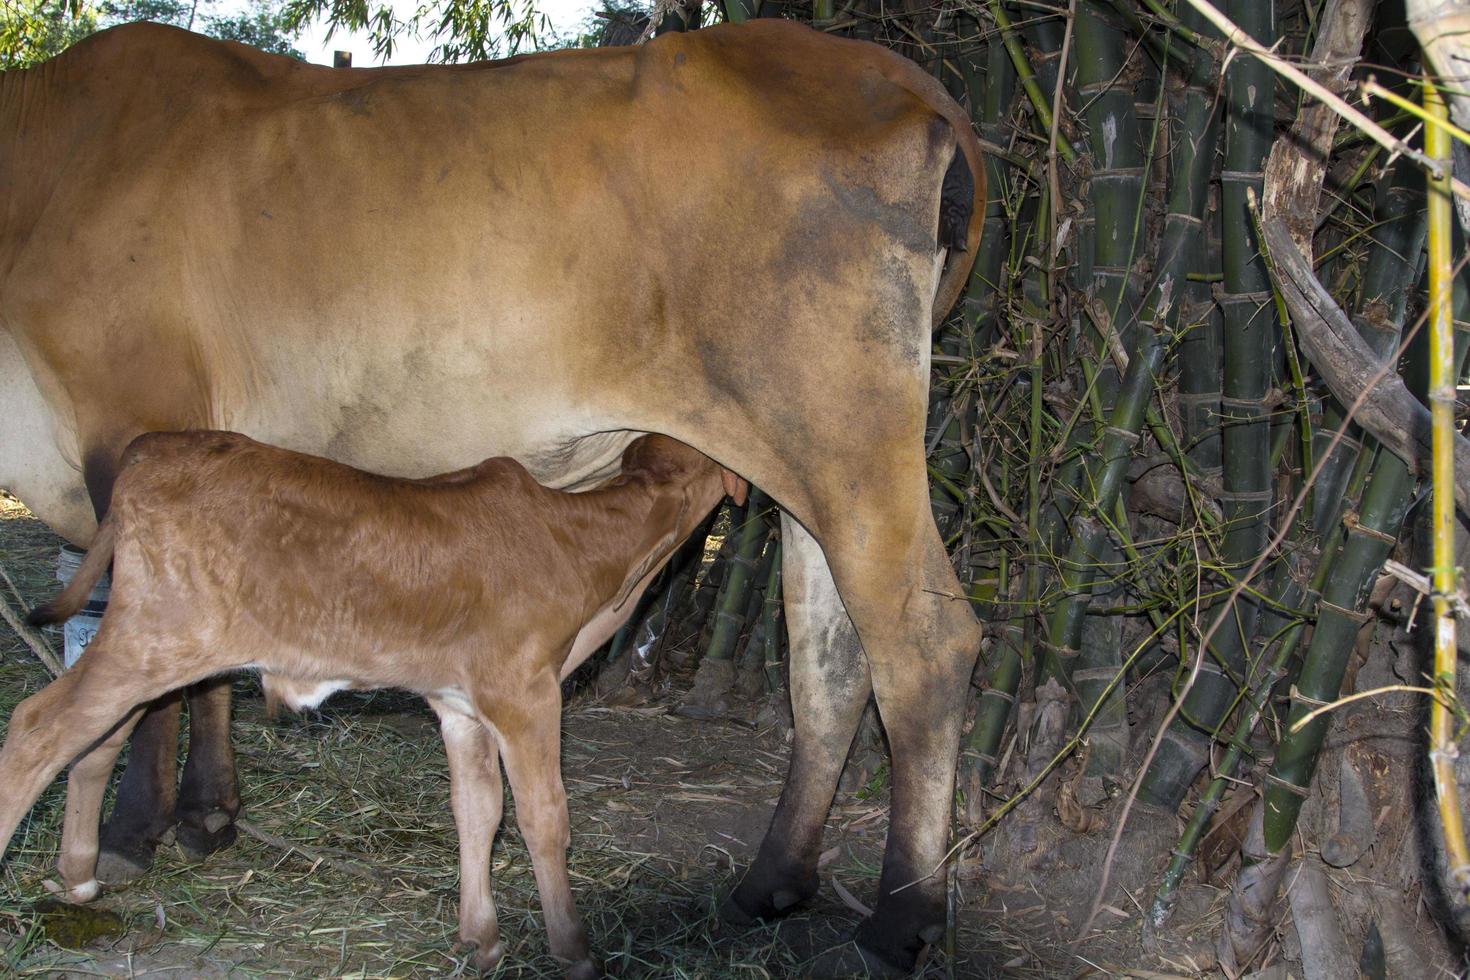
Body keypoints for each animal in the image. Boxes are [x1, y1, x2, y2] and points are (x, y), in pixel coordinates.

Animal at [0, 431, 735, 975]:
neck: (577, 545)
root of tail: (151, 448)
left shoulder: (459, 703)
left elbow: (478, 810)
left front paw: (481, 936)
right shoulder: (523, 691)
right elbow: (544, 817)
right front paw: (574, 949)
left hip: (149, 648)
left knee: (95, 744)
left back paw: (79, 876)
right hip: (155, 641)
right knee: (36, 727)